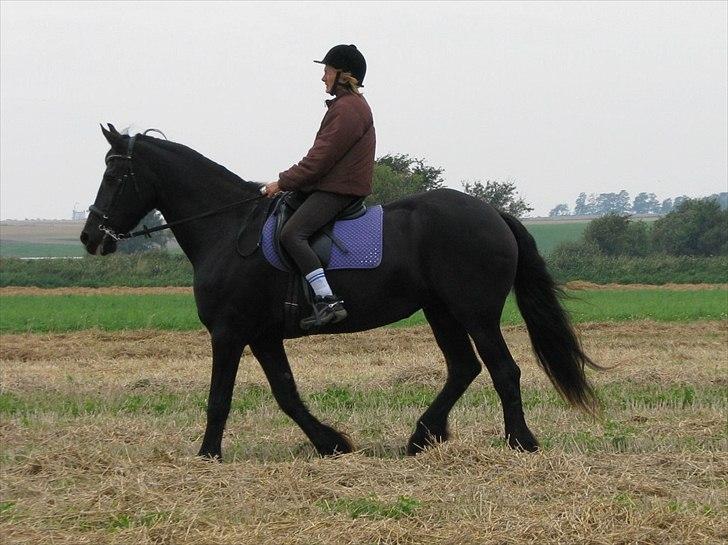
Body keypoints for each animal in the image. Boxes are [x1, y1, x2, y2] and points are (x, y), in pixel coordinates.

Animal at [81, 124, 604, 460]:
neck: (227, 229)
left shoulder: (228, 333)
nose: (90, 238)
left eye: (113, 175)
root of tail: (492, 213)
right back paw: (421, 438)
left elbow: (219, 397)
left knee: (502, 370)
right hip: (441, 312)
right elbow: (286, 393)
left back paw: (520, 442)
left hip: (474, 313)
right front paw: (330, 444)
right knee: (464, 368)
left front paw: (207, 455)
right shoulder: (262, 336)